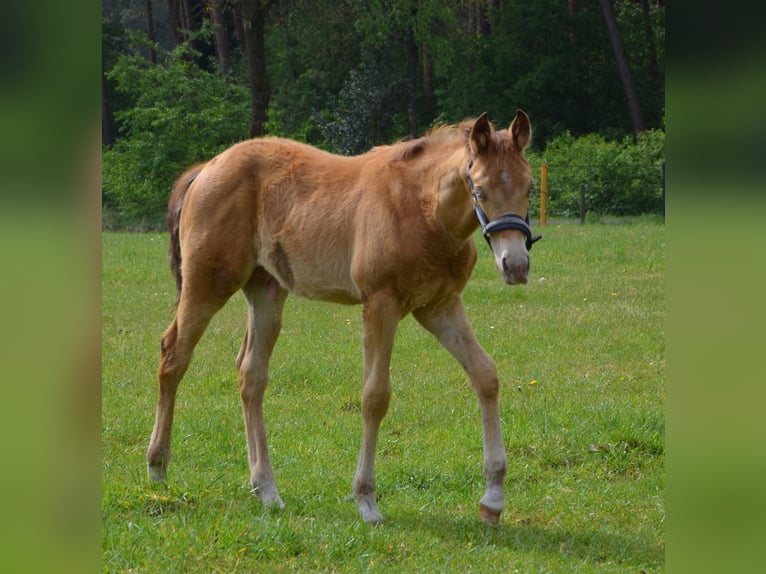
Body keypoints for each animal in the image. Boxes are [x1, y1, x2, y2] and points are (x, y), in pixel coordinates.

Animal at [146, 110, 541, 525]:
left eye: (529, 187)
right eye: (479, 190)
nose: (515, 266)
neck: (424, 209)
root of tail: (207, 168)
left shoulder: (439, 305)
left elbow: (485, 374)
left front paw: (493, 498)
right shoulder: (381, 305)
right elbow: (375, 396)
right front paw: (366, 499)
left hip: (266, 290)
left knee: (250, 374)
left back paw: (266, 489)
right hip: (208, 284)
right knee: (174, 354)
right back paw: (157, 468)